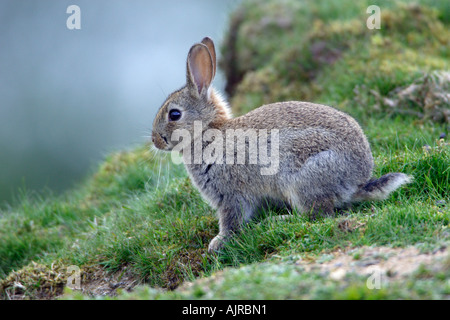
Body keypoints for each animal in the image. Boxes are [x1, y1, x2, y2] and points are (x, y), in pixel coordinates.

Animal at [153, 37, 414, 252]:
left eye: (174, 115)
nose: (155, 141)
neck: (208, 132)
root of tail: (357, 181)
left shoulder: (230, 193)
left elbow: (232, 220)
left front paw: (218, 243)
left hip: (301, 179)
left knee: (316, 215)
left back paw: (278, 220)